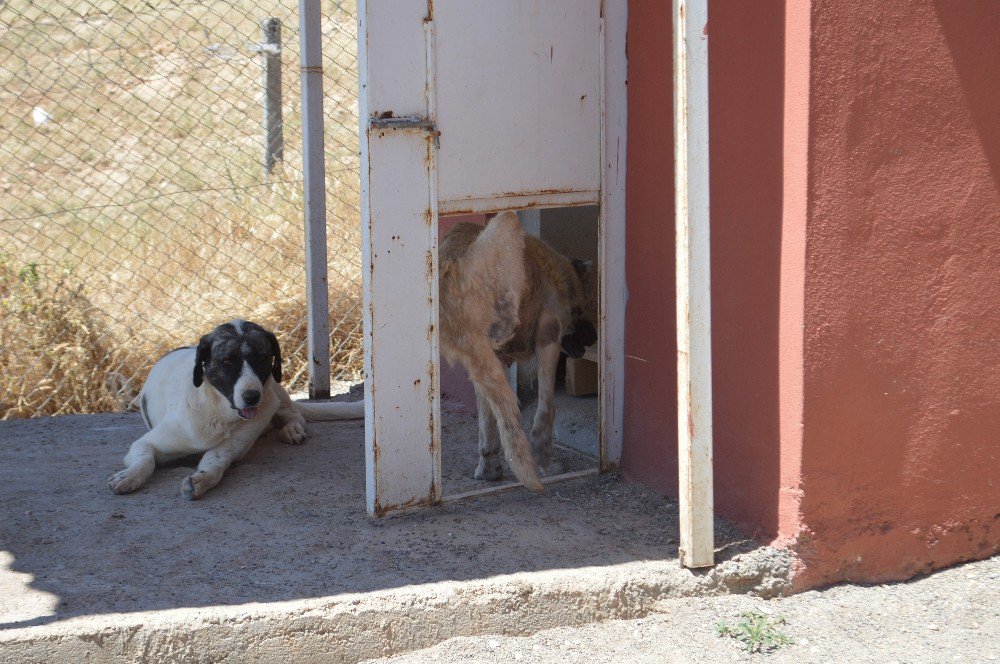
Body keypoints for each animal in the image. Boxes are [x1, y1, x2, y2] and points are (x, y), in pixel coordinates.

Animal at [108, 320, 364, 498]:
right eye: (227, 361)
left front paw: (201, 480)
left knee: (295, 413)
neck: (219, 413)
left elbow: (216, 464)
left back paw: (292, 429)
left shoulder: (230, 449)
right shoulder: (145, 443)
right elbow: (145, 460)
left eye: (262, 358)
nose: (252, 397)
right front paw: (129, 476)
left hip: (274, 394)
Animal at [438, 213, 592, 492]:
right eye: (584, 307)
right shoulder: (548, 332)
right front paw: (541, 446)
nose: (595, 337)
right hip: (506, 221)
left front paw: (489, 467)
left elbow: (488, 423)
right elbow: (546, 401)